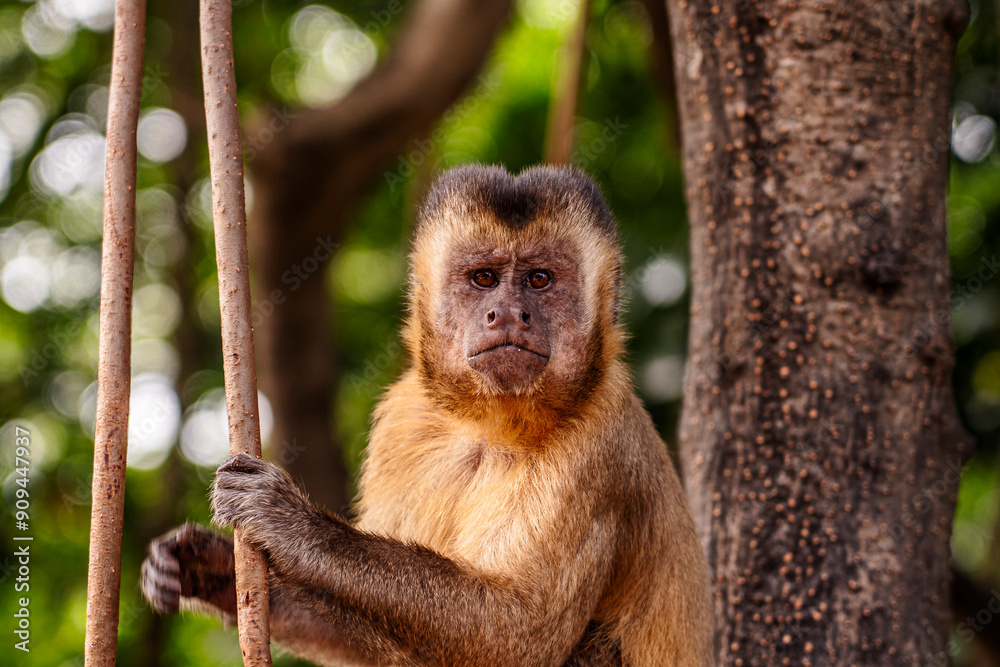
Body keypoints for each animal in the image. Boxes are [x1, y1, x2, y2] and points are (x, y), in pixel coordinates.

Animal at [142, 164, 713, 666]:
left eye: (539, 279)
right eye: (484, 279)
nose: (509, 314)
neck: (492, 425)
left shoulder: (602, 435)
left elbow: (517, 634)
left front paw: (292, 523)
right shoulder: (403, 417)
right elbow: (360, 638)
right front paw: (210, 571)